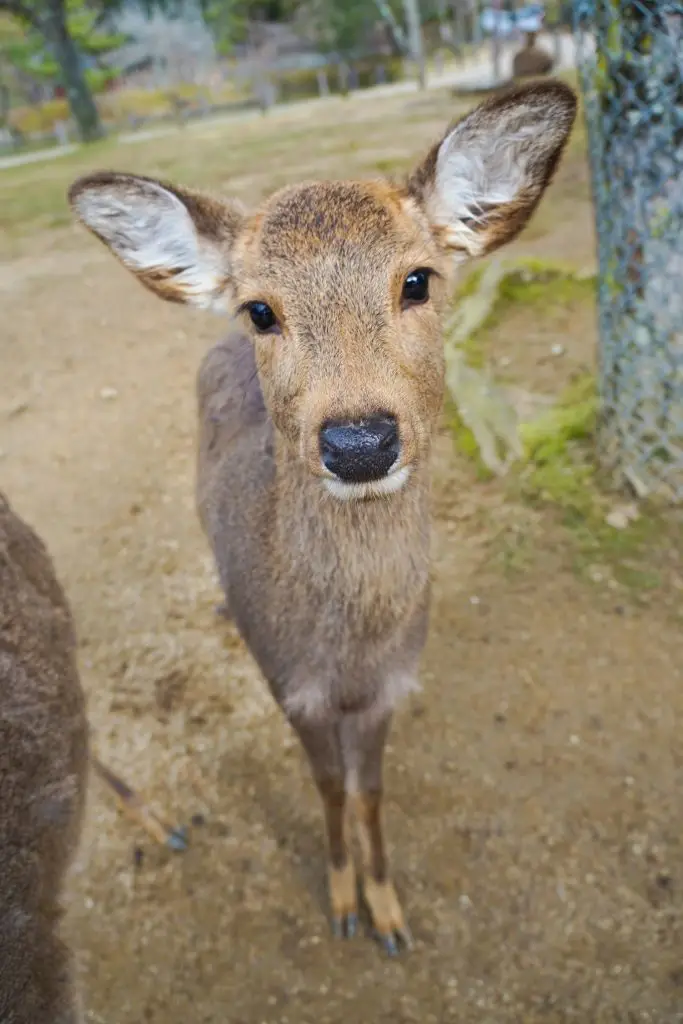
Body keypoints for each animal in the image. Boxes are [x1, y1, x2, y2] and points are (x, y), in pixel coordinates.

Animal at [69, 81, 577, 958]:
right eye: (260, 309)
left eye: (417, 279)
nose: (359, 441)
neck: (346, 657)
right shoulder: (289, 687)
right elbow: (327, 787)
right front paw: (341, 905)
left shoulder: (391, 688)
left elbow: (370, 792)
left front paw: (388, 912)